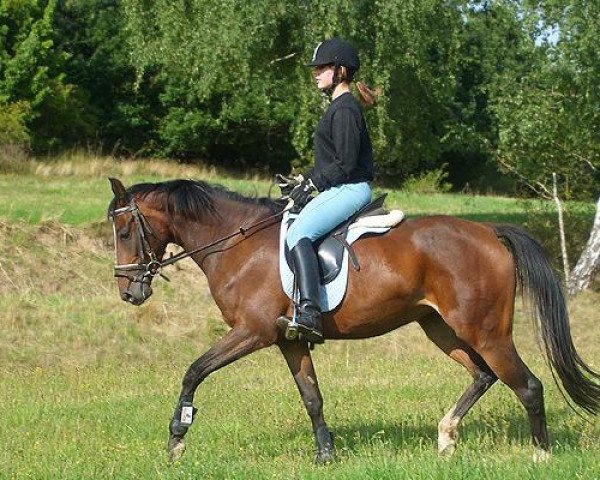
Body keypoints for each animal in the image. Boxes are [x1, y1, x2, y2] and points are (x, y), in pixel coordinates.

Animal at [109, 178, 600, 464]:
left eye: (125, 230)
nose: (129, 292)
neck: (237, 245)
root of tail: (490, 232)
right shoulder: (289, 340)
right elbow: (312, 397)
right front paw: (325, 455)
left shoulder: (252, 332)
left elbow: (194, 370)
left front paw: (177, 438)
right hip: (440, 327)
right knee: (483, 375)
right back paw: (446, 438)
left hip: (485, 330)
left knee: (527, 385)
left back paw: (540, 457)